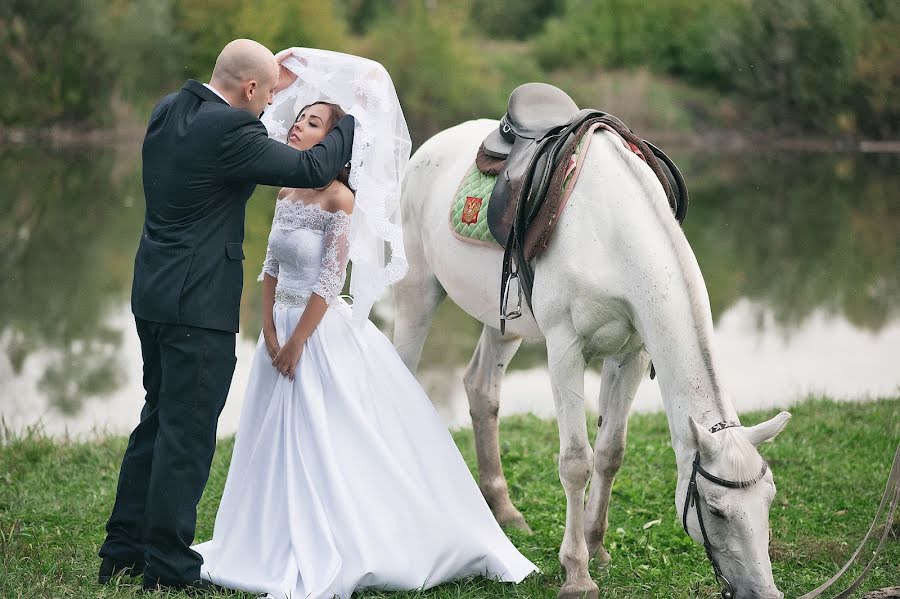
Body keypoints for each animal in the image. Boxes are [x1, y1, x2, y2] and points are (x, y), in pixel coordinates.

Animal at [392, 118, 788, 599]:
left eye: (769, 500)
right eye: (715, 511)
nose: (764, 593)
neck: (613, 231)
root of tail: (434, 143)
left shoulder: (631, 354)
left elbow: (610, 452)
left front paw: (596, 545)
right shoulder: (565, 350)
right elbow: (576, 462)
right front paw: (577, 572)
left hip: (503, 319)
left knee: (481, 388)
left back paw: (504, 510)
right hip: (417, 290)